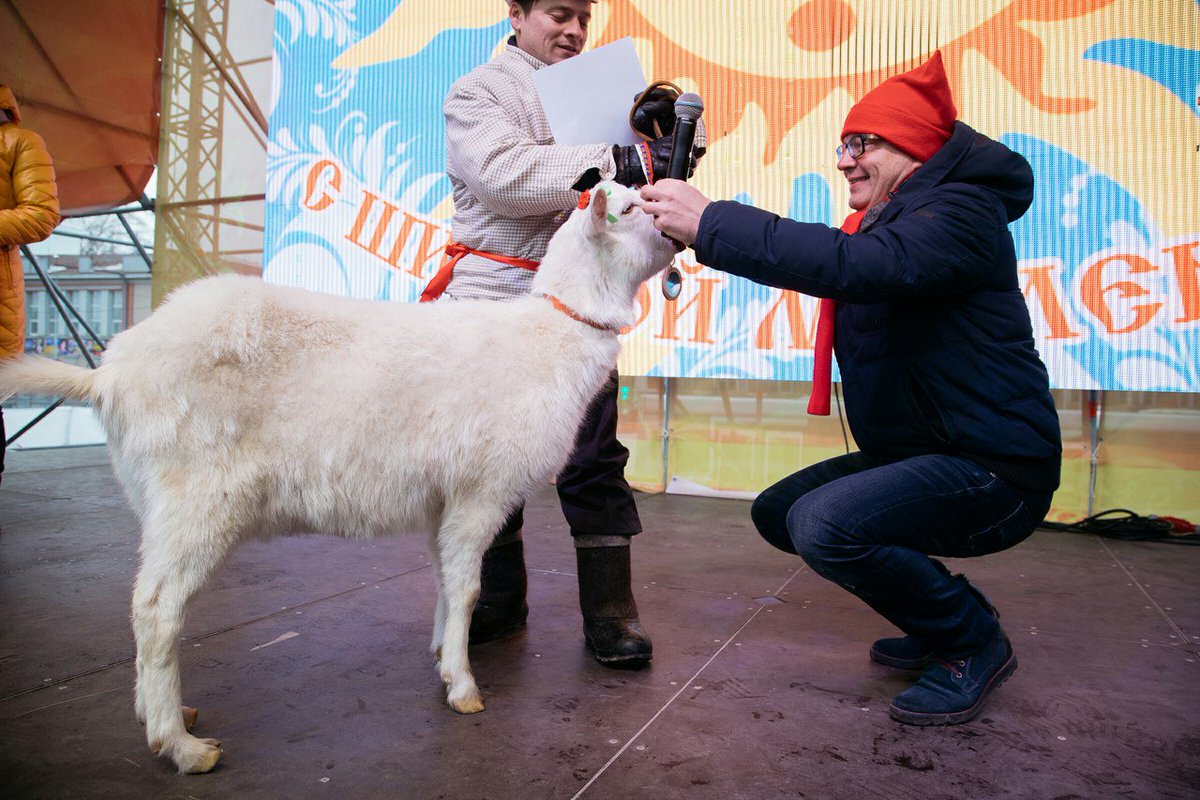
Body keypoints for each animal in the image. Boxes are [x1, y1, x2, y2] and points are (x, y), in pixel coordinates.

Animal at [0, 183, 676, 777]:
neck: (553, 334)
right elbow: (465, 587)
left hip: (158, 497)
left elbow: (442, 579)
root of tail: (108, 375)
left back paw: (163, 712)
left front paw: (441, 655)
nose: (676, 229)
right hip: (196, 495)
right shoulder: (480, 490)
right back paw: (182, 746)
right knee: (156, 609)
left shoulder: (442, 498)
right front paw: (462, 686)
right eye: (631, 208)